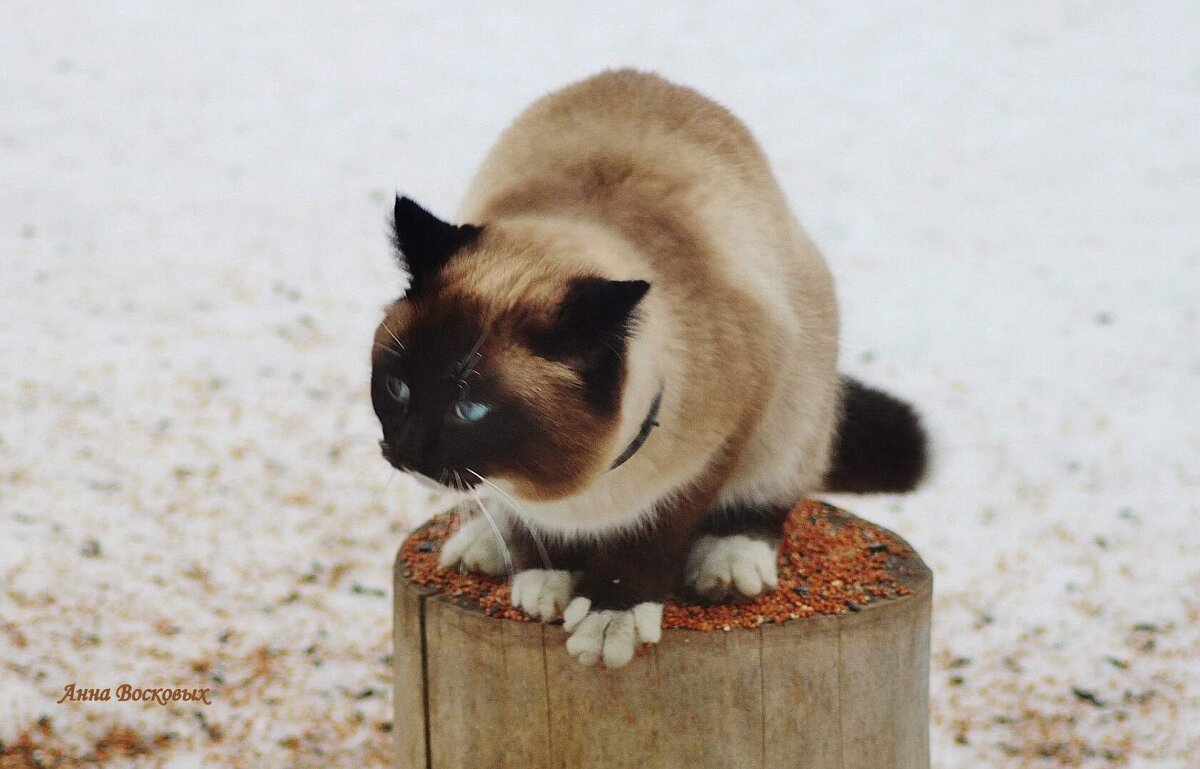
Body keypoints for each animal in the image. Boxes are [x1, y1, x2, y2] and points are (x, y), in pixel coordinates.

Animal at [369, 68, 921, 667]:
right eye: (397, 388)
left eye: (470, 409)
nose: (405, 452)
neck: (576, 492)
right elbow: (527, 523)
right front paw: (544, 576)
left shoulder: (725, 434)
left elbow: (655, 534)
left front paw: (611, 616)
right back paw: (483, 545)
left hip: (796, 398)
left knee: (770, 495)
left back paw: (729, 566)